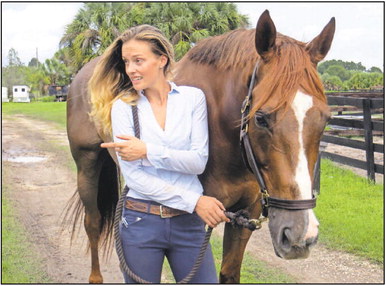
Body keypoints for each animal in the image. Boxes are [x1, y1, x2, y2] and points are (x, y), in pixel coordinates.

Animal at [66, 9, 334, 284]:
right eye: (260, 118)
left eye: (325, 118)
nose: (300, 236)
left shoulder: (244, 216)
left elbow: (229, 273)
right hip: (87, 165)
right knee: (93, 222)